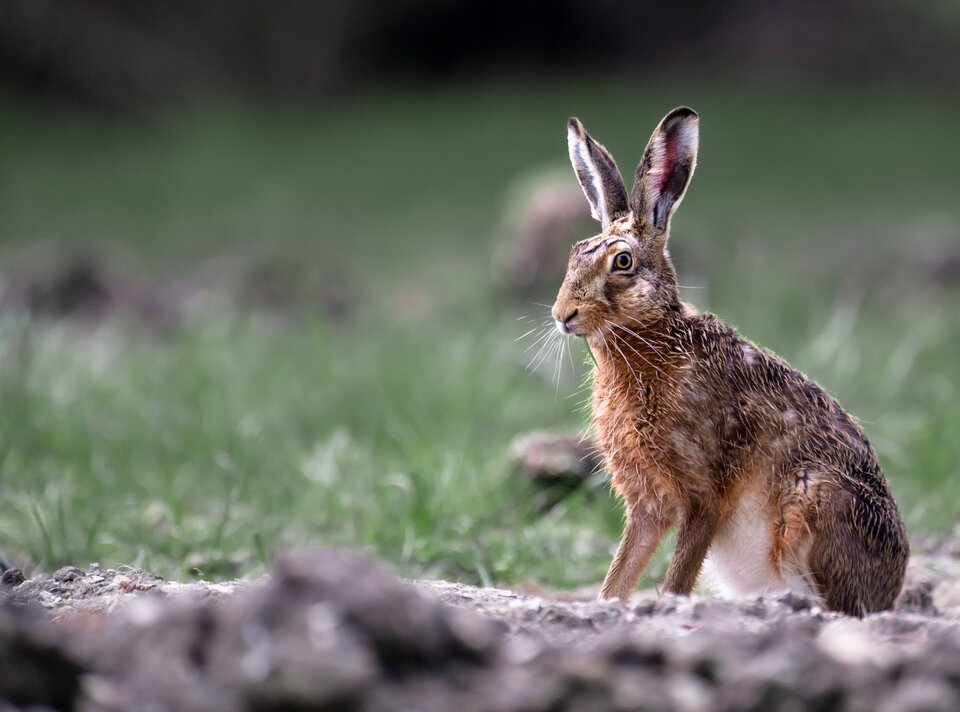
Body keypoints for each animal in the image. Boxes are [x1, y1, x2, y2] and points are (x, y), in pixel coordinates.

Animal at [552, 107, 908, 615]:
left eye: (623, 262)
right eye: (573, 255)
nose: (563, 315)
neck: (655, 341)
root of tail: (888, 593)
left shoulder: (705, 492)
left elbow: (679, 574)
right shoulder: (648, 504)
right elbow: (621, 573)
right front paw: (608, 605)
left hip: (813, 502)